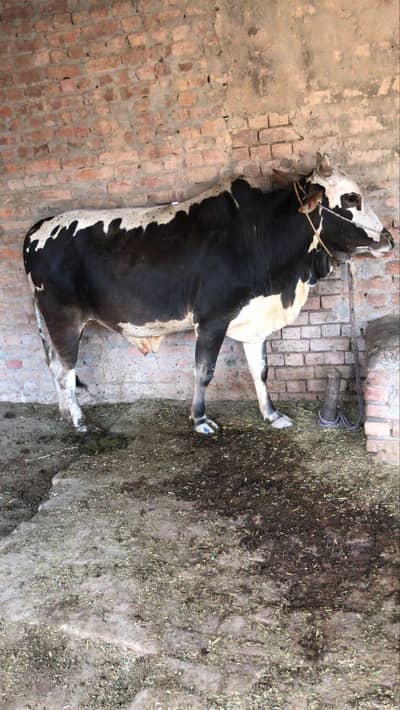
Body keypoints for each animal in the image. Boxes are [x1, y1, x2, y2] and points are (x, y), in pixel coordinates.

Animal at [23, 153, 393, 435]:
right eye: (351, 198)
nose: (388, 237)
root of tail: (38, 227)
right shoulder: (212, 319)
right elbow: (204, 371)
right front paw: (200, 419)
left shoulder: (254, 320)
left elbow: (260, 370)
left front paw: (272, 414)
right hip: (63, 319)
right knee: (65, 370)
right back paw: (80, 423)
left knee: (55, 367)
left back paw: (65, 414)